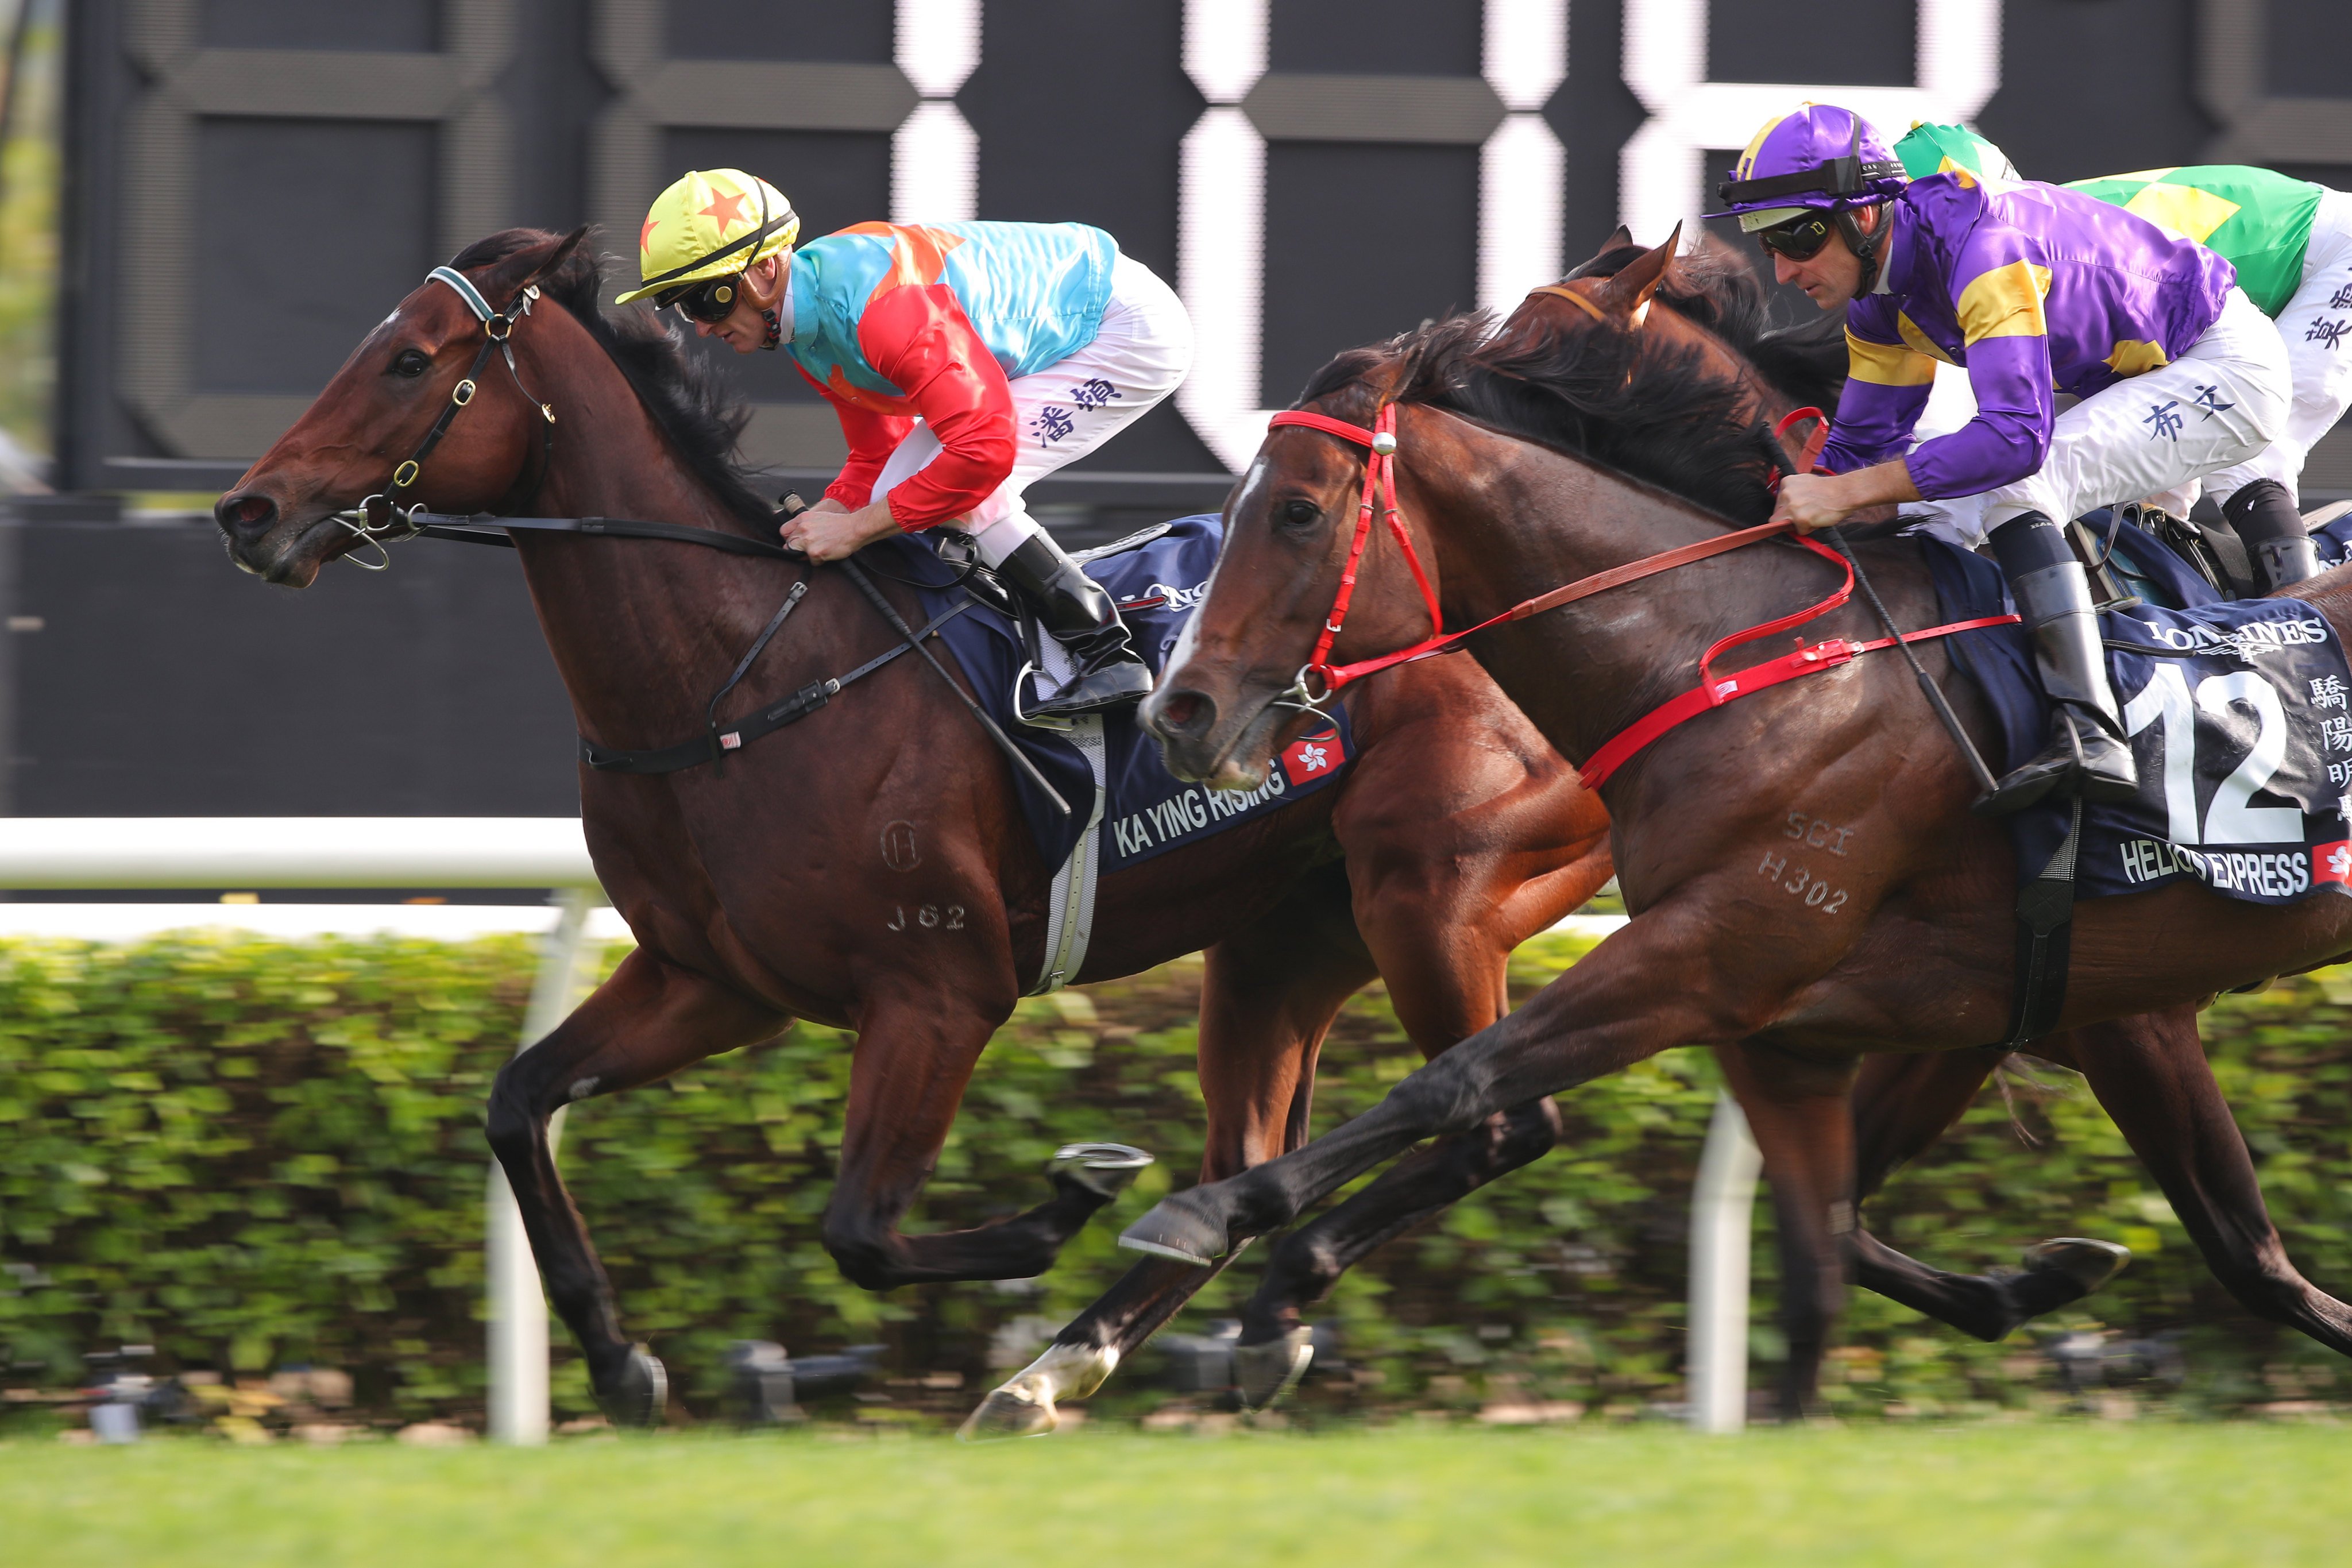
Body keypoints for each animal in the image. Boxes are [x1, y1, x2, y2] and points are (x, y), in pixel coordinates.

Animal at [211, 230, 1618, 1438]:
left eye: (409, 359)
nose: (246, 511)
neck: (734, 678)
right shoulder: (712, 980)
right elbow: (517, 1104)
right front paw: (618, 1363)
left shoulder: (938, 992)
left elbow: (862, 1234)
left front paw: (1065, 1200)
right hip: (1288, 933)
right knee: (1254, 1154)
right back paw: (1079, 1362)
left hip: (1433, 890)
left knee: (1496, 1120)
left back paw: (1226, 1304)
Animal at [1119, 306, 2351, 1410]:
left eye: (1296, 511)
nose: (1179, 711)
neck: (1735, 654)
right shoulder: (1800, 1030)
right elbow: (1822, 1270)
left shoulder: (1715, 953)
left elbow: (1457, 1077)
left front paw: (1215, 1224)